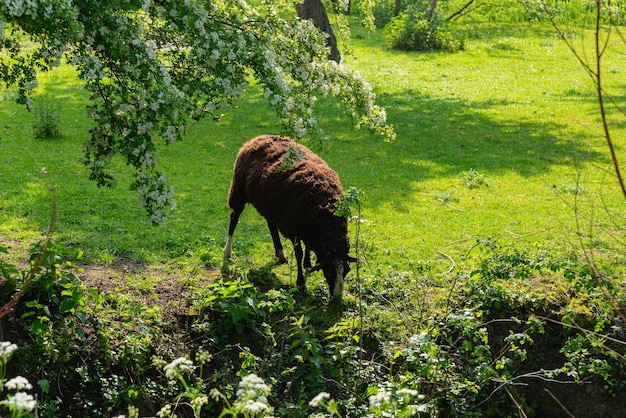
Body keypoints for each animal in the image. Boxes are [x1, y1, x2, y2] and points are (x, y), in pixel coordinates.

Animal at [223, 135, 356, 298]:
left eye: (347, 271)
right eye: (329, 273)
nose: (337, 298)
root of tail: (258, 138)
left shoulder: (306, 225)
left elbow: (308, 246)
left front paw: (307, 265)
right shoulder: (294, 227)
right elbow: (299, 253)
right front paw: (301, 283)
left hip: (270, 204)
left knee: (271, 224)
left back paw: (280, 253)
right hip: (238, 190)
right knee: (234, 218)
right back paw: (227, 252)